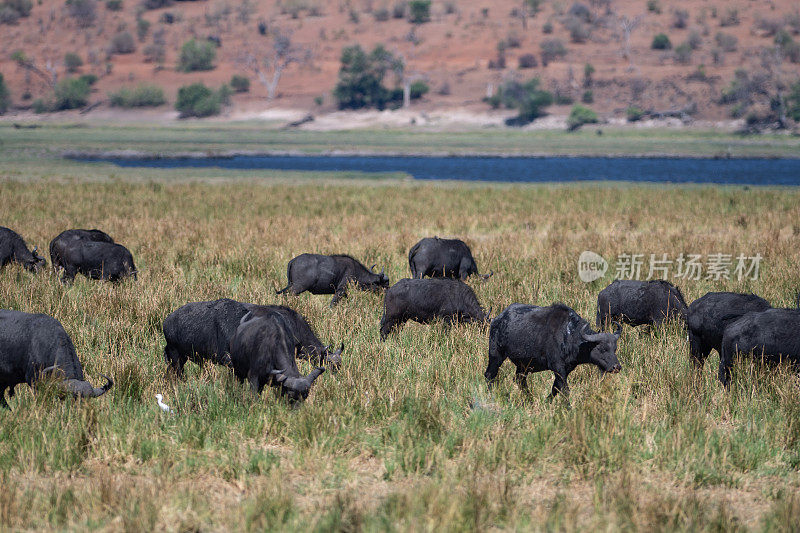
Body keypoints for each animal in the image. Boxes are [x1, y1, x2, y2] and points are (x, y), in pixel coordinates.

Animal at [484, 302, 620, 396]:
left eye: (614, 349)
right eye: (602, 349)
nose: (616, 367)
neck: (568, 335)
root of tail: (496, 319)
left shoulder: (566, 369)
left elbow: (556, 389)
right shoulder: (557, 367)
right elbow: (565, 390)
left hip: (523, 365)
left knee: (519, 380)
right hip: (496, 354)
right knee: (489, 375)